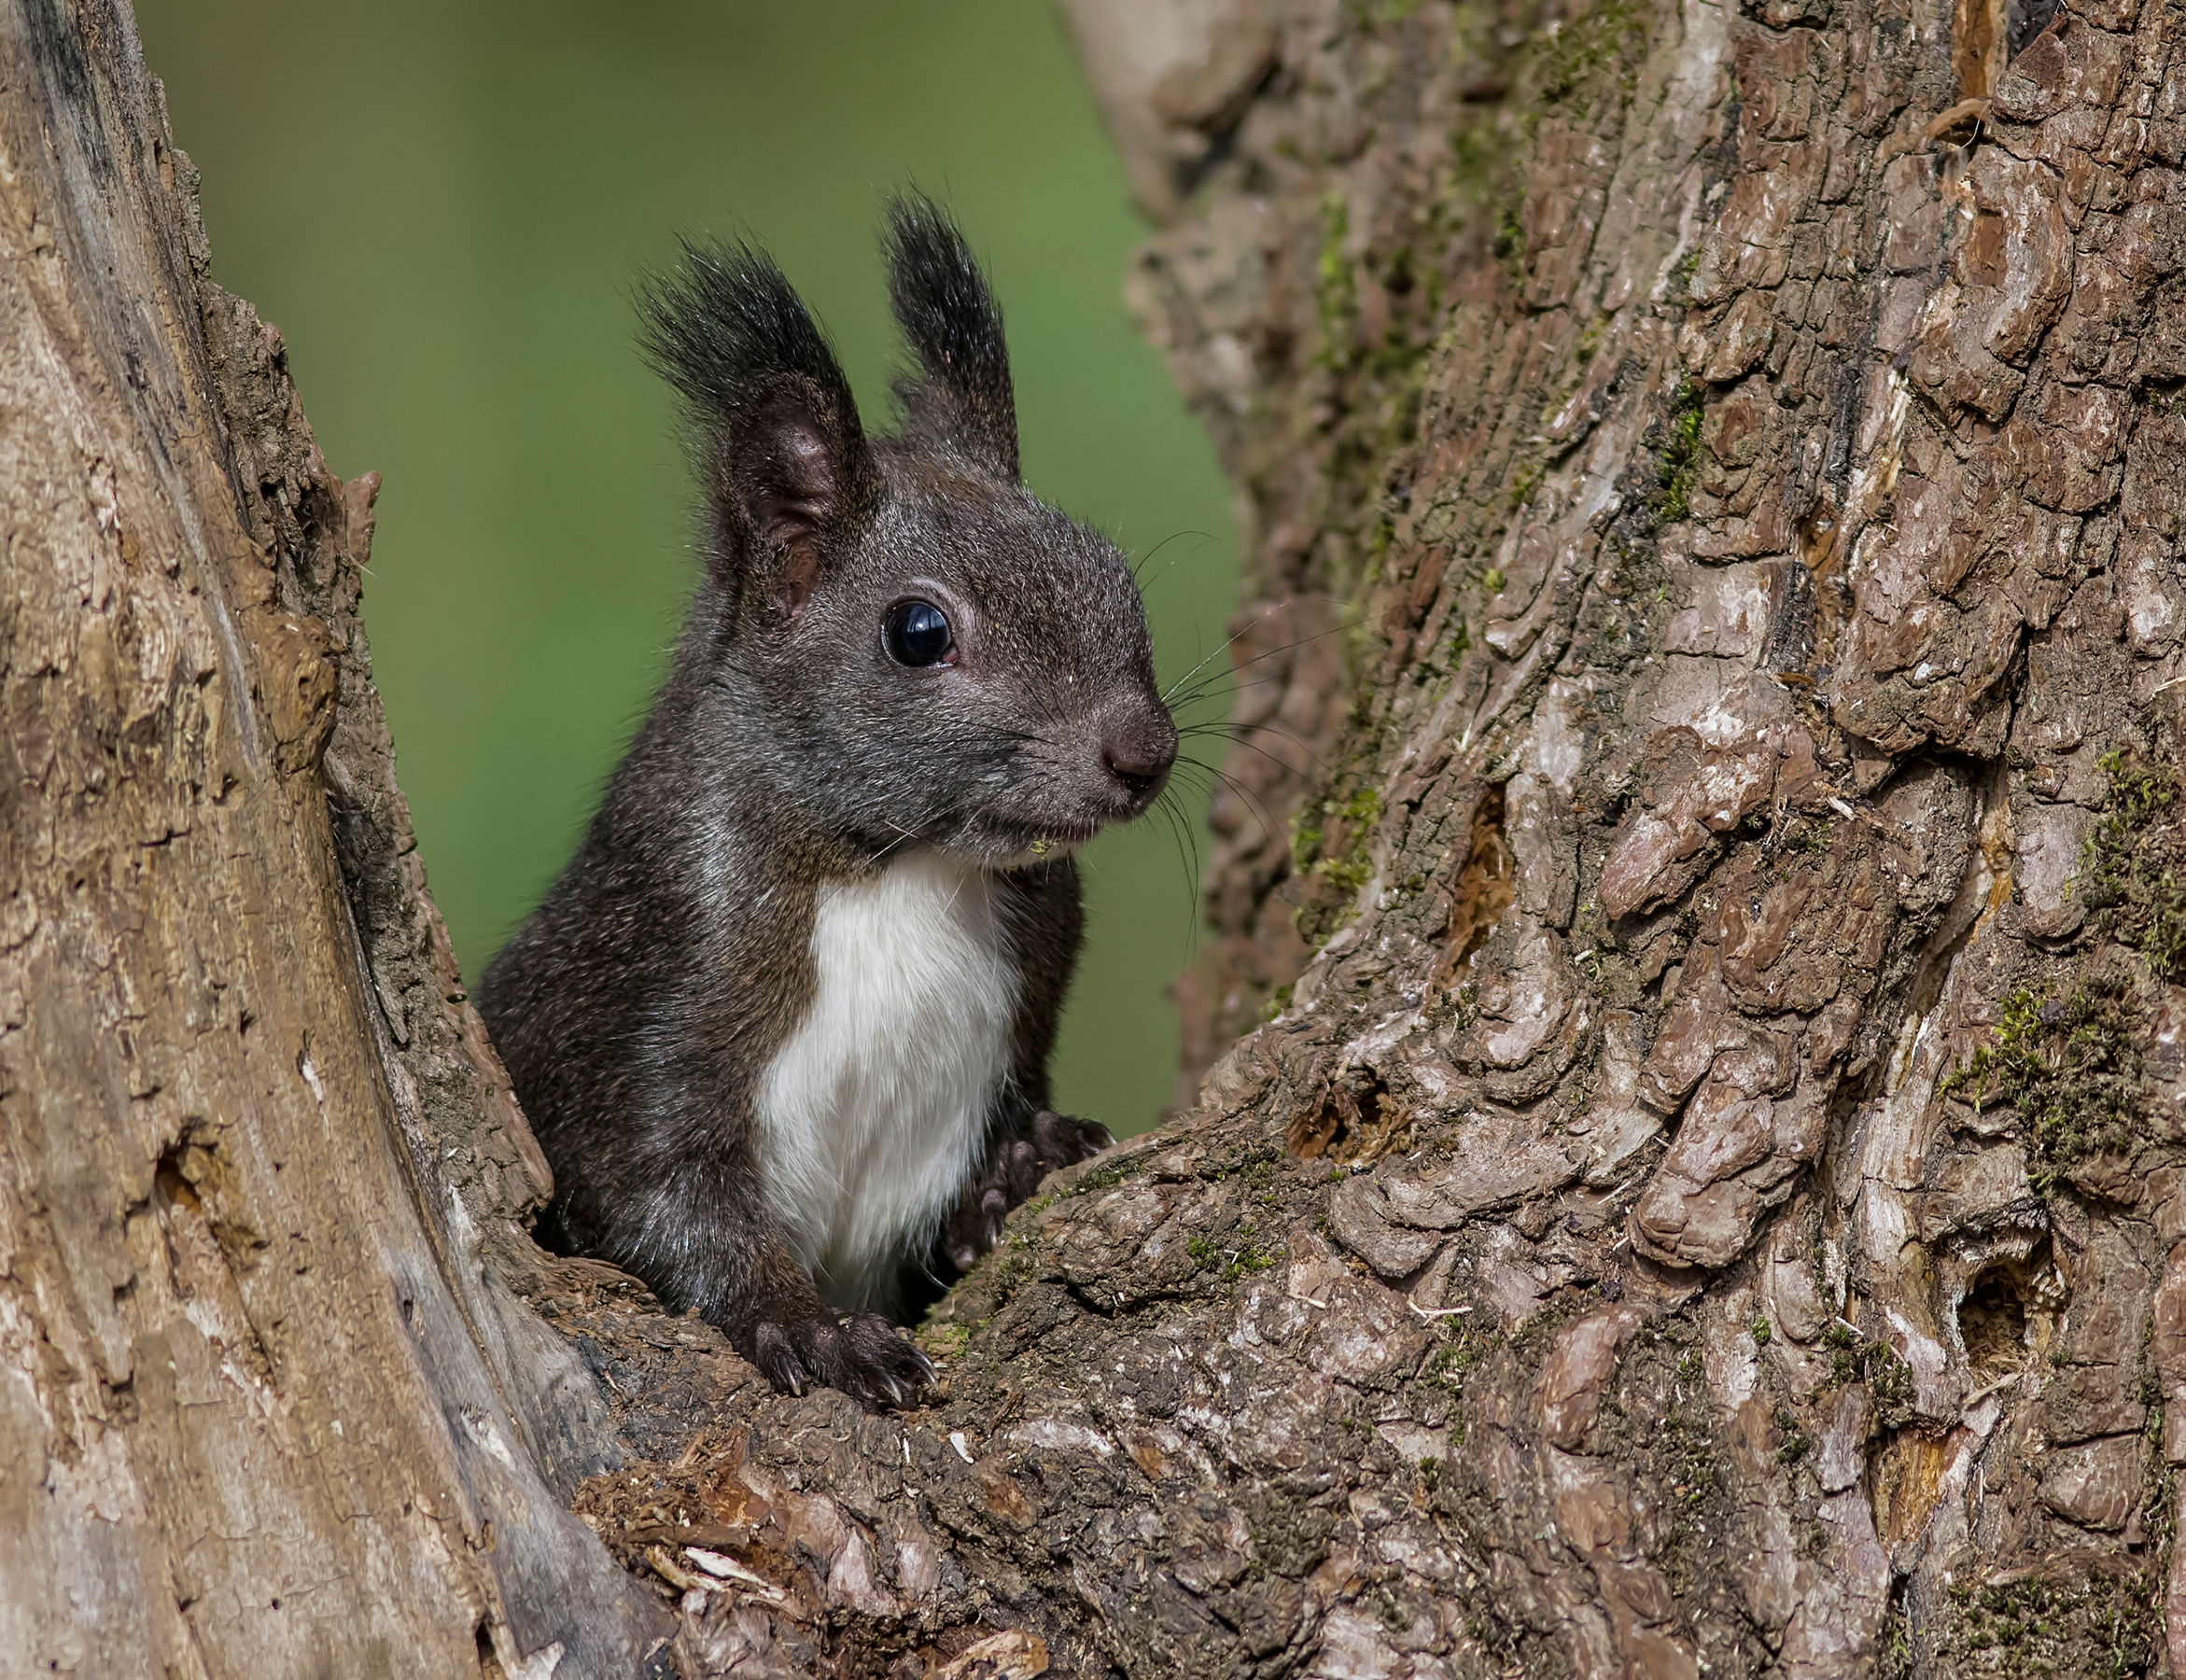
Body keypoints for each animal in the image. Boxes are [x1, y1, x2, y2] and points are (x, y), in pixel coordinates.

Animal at [477, 196, 1177, 1407]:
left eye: (1111, 572)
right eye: (918, 632)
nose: (1144, 752)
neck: (905, 868)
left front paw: (1020, 1164)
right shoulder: (651, 990)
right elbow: (656, 1199)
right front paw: (811, 1330)